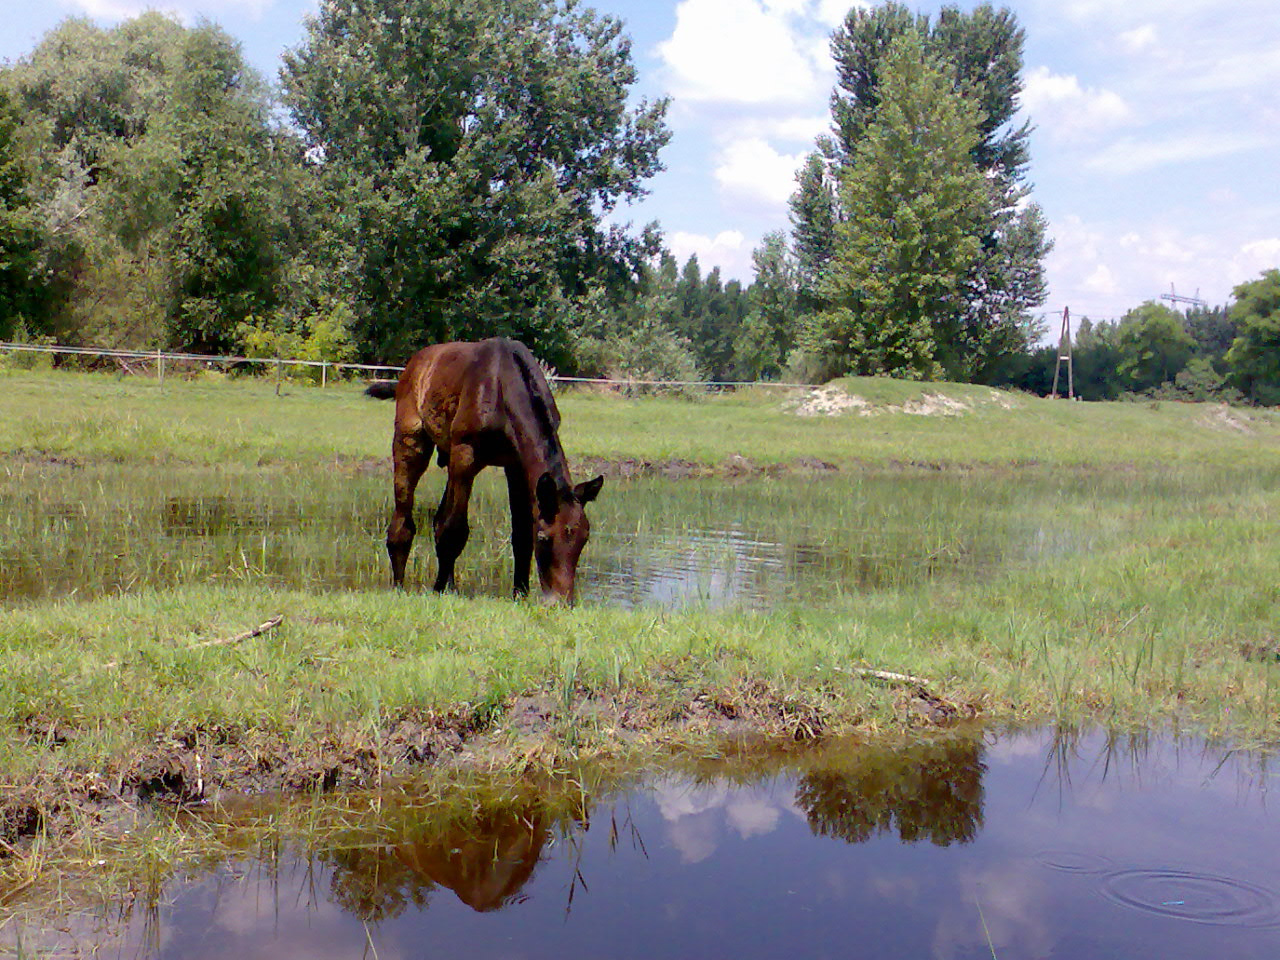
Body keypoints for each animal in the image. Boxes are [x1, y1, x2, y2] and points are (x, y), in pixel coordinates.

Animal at [371, 337, 604, 604]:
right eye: (544, 538)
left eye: (584, 538)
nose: (561, 601)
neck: (501, 385)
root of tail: (414, 364)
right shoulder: (465, 456)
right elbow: (454, 530)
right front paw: (438, 589)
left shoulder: (515, 466)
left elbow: (520, 532)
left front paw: (519, 594)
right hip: (411, 441)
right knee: (404, 520)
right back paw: (399, 585)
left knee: (438, 519)